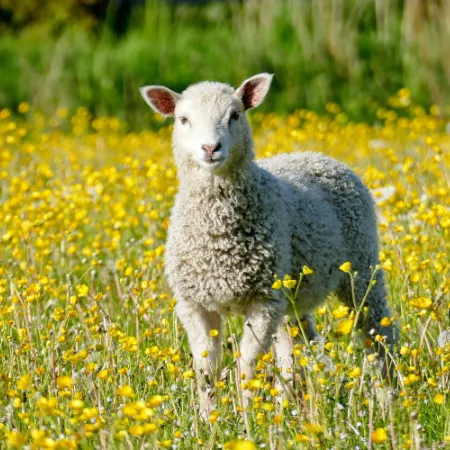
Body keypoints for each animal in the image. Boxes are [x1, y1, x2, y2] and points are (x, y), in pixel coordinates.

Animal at [139, 74, 396, 418]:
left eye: (235, 115)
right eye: (183, 119)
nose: (210, 148)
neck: (218, 235)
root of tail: (318, 155)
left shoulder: (262, 301)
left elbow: (246, 367)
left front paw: (247, 416)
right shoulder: (194, 304)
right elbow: (206, 368)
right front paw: (209, 419)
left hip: (361, 267)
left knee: (378, 332)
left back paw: (390, 399)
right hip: (292, 295)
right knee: (298, 347)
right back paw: (293, 408)